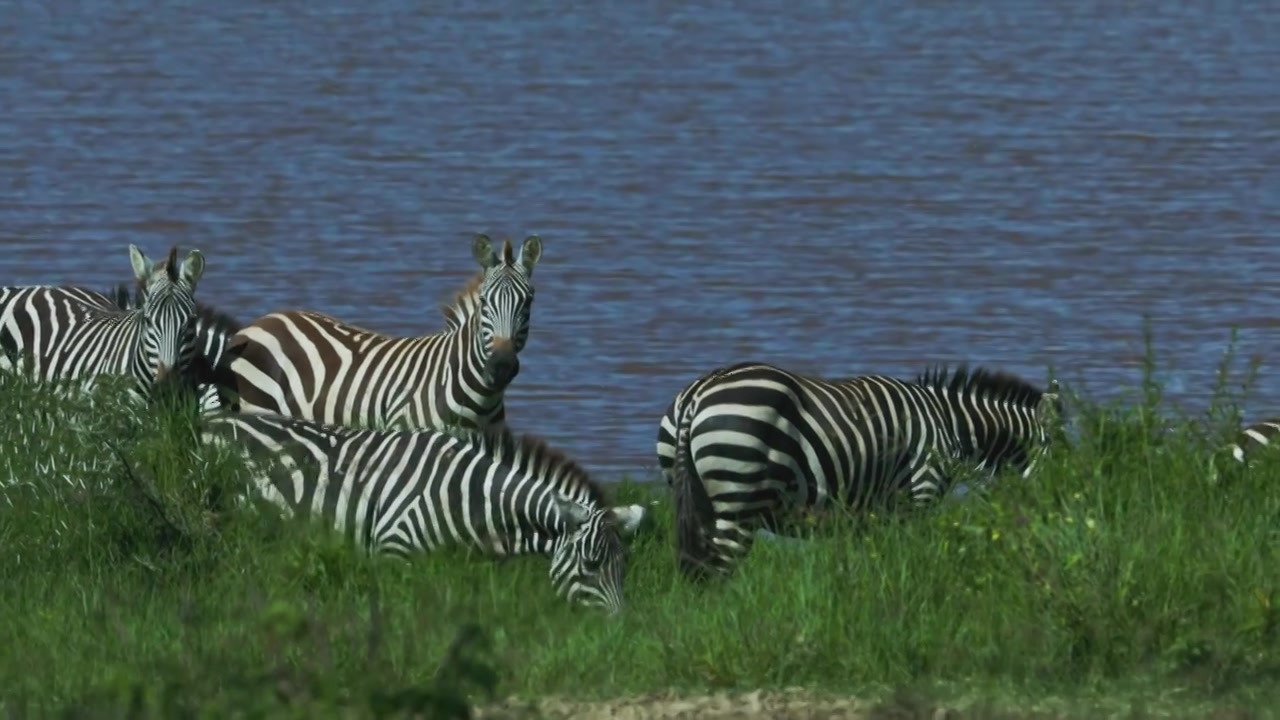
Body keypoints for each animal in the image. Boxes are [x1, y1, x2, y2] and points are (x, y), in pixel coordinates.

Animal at [200, 409, 650, 609]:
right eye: (590, 565)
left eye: (625, 566)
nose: (616, 632)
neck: (470, 499)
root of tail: (212, 421)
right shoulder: (393, 550)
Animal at [225, 233, 540, 427]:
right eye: (485, 302)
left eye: (529, 301)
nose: (502, 366)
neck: (481, 398)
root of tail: (263, 320)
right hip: (259, 406)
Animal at [660, 358, 1059, 576]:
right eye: (1057, 452)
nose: (1048, 516)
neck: (950, 423)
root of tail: (698, 394)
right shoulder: (921, 489)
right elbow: (909, 557)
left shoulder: (870, 513)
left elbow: (869, 563)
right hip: (738, 499)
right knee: (717, 571)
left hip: (694, 498)